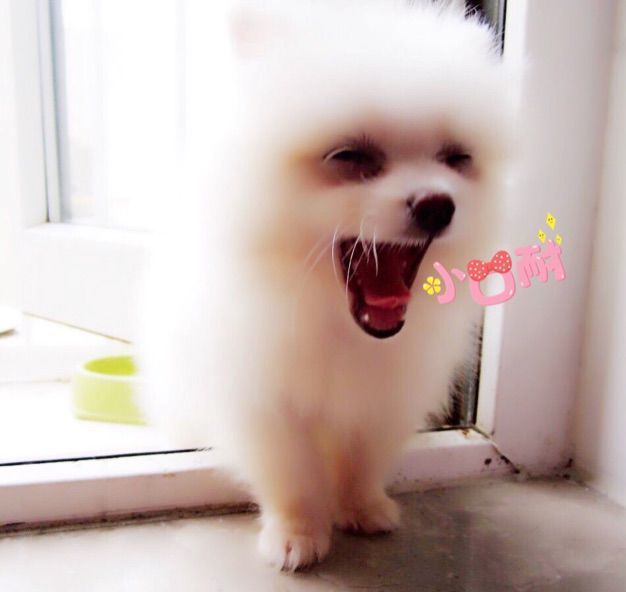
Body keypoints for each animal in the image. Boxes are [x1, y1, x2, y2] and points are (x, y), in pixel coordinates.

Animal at [139, 0, 514, 571]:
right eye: (349, 156)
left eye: (456, 158)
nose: (437, 204)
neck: (336, 321)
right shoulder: (266, 399)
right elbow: (293, 472)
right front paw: (297, 536)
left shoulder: (385, 395)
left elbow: (364, 458)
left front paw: (363, 508)